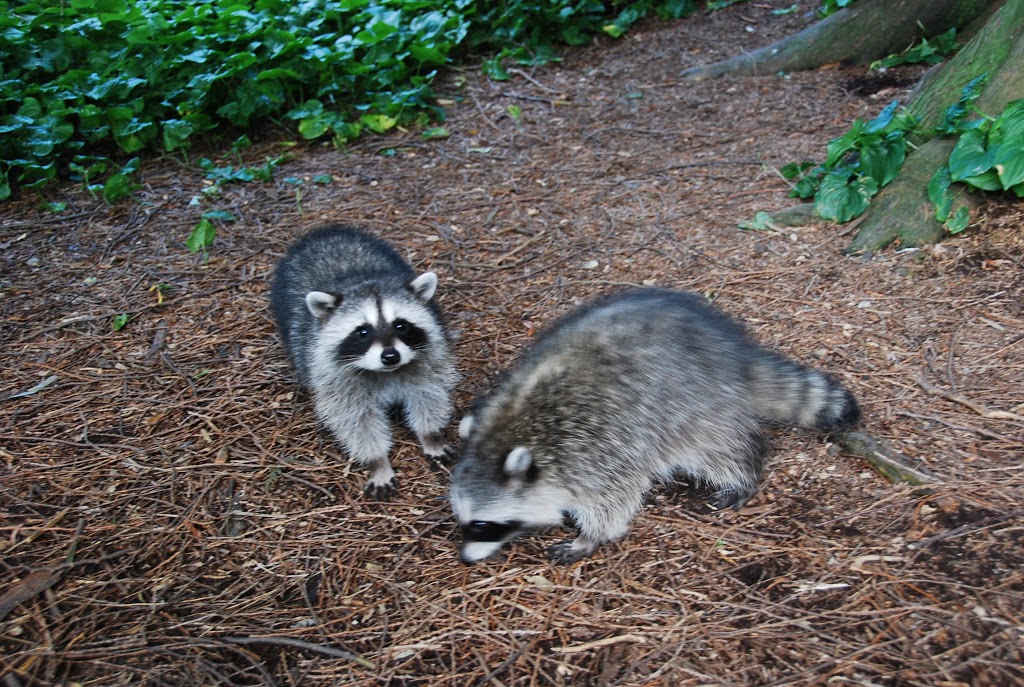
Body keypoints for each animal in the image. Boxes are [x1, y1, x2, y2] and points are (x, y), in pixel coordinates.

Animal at [270, 225, 454, 499]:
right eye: (363, 331)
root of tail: (326, 232)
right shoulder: (334, 375)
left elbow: (428, 395)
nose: (391, 356)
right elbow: (355, 420)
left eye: (401, 325)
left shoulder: (428, 357)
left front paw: (430, 436)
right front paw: (377, 461)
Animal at [452, 286, 860, 561]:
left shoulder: (595, 450)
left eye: (482, 525)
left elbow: (612, 501)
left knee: (719, 447)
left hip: (692, 404)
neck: (507, 433)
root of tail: (734, 353)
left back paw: (743, 472)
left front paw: (590, 537)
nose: (464, 558)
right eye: (463, 520)